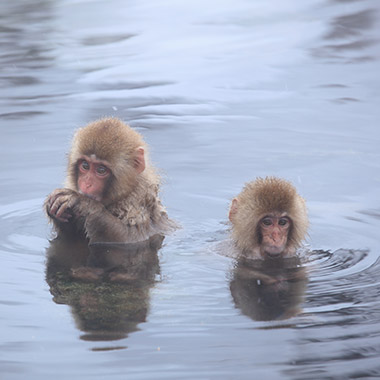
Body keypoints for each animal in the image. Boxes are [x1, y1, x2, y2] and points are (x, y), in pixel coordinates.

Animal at [45, 117, 177, 280]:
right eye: (85, 165)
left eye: (101, 170)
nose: (87, 184)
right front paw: (55, 209)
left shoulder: (138, 207)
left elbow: (131, 240)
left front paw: (86, 204)